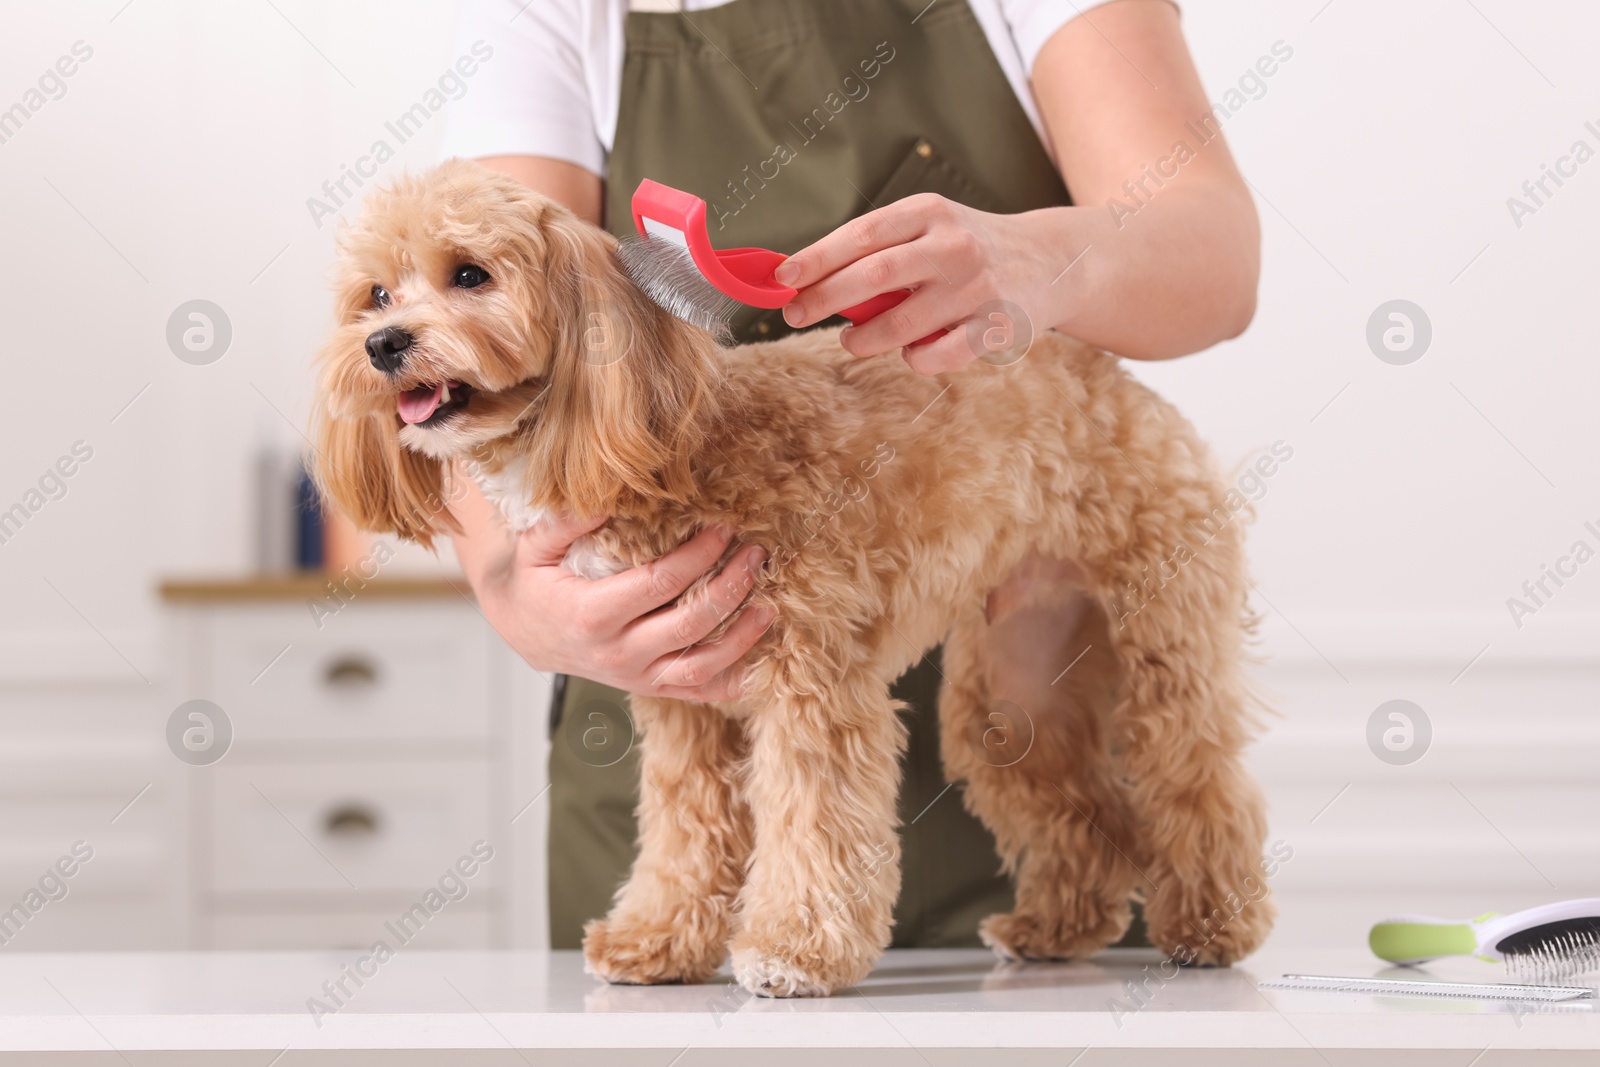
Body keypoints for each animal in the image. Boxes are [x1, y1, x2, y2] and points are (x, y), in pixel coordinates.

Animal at [312, 160, 1273, 1004]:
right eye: (378, 294)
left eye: (470, 274)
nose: (383, 345)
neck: (667, 441)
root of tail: (1109, 377)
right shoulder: (681, 702)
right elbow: (684, 834)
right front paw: (657, 941)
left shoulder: (810, 682)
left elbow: (813, 820)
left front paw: (793, 951)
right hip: (1015, 694)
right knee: (1093, 813)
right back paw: (1056, 928)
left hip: (1165, 645)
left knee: (1198, 783)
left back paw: (1214, 924)